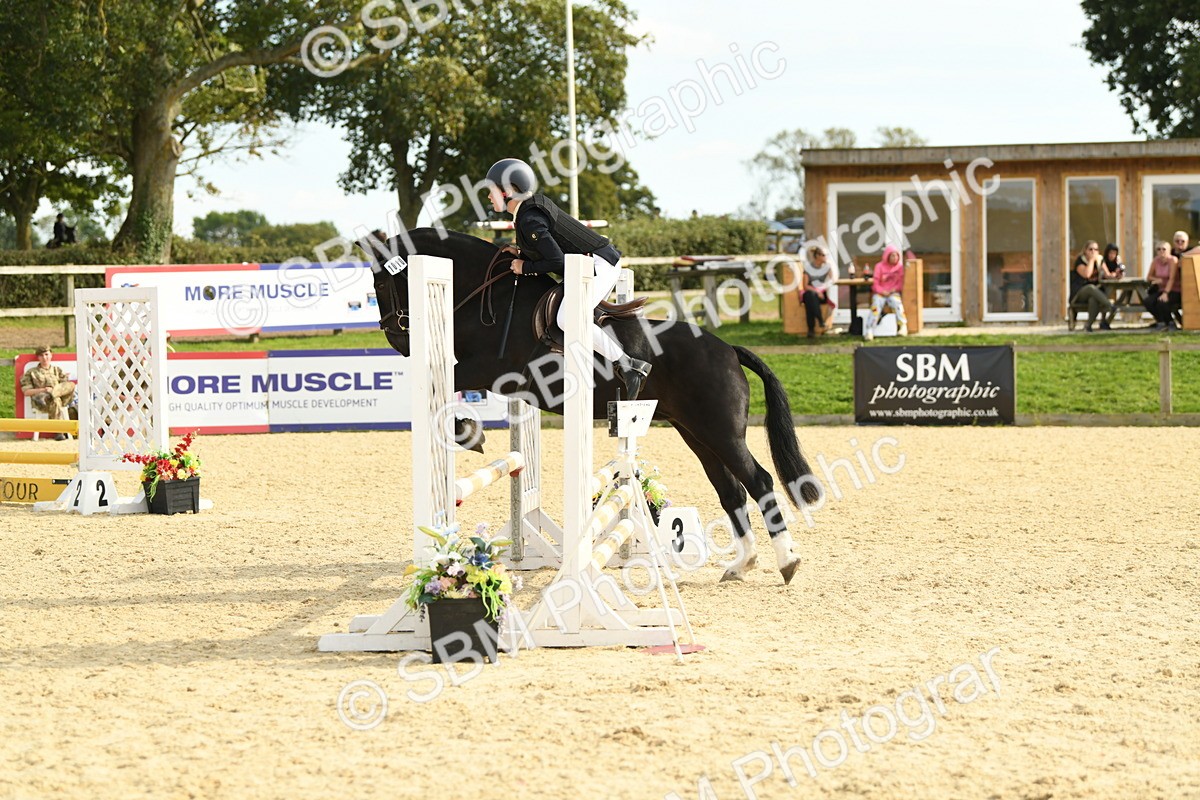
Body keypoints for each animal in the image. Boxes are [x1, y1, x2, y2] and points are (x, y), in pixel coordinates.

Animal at [358, 227, 822, 583]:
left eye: (380, 284)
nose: (397, 342)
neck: (491, 299)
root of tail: (728, 349)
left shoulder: (489, 369)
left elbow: (450, 386)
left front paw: (468, 433)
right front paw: (469, 431)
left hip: (720, 432)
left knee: (759, 481)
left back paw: (788, 561)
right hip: (697, 434)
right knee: (731, 491)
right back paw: (743, 564)